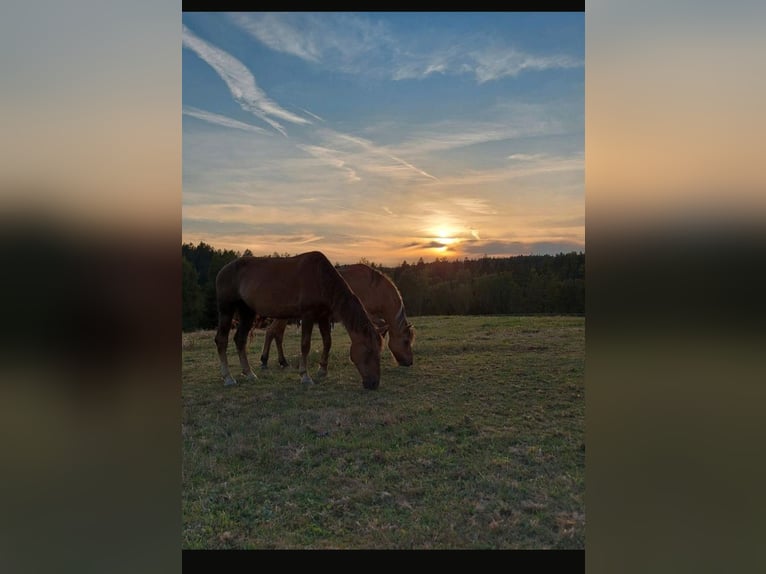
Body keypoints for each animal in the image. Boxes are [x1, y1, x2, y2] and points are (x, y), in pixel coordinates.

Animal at [214, 253, 384, 392]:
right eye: (369, 351)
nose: (374, 383)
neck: (321, 278)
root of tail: (223, 271)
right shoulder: (308, 316)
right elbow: (305, 345)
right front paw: (305, 376)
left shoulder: (323, 316)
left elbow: (327, 342)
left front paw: (322, 370)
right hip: (226, 309)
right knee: (222, 340)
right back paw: (228, 378)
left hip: (247, 311)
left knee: (240, 340)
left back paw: (249, 373)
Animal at [258, 264, 416, 372]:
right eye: (406, 341)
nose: (409, 362)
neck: (375, 289)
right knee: (271, 332)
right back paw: (265, 360)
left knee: (277, 334)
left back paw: (282, 361)